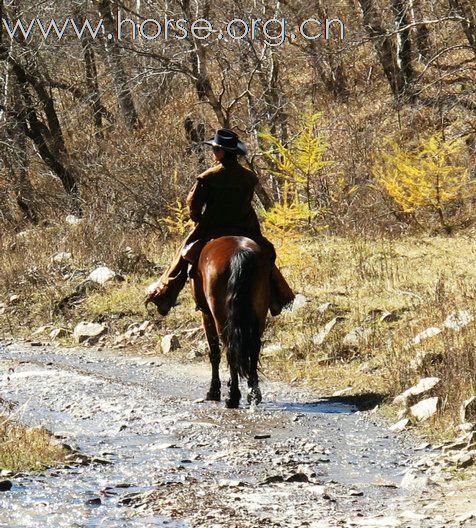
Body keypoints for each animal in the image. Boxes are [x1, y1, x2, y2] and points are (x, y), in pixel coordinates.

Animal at [191, 236, 272, 408]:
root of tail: (239, 253)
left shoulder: (206, 314)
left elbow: (214, 353)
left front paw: (213, 391)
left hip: (220, 318)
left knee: (230, 350)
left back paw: (233, 397)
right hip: (259, 314)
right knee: (254, 347)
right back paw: (253, 394)